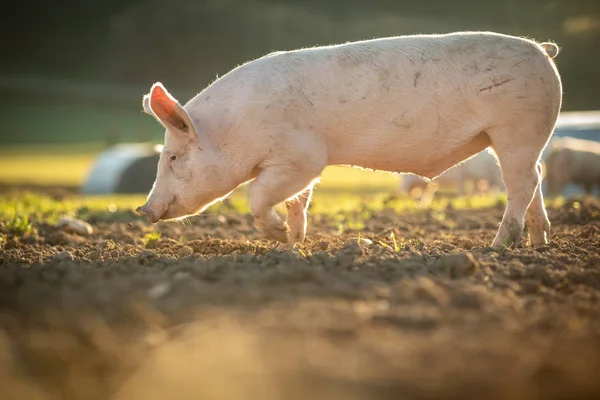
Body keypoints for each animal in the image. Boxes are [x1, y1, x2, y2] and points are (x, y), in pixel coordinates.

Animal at [136, 31, 564, 250]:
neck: (235, 127)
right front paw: (293, 244)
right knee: (537, 179)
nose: (143, 210)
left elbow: (259, 197)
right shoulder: (298, 168)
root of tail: (542, 50)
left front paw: (277, 236)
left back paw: (497, 247)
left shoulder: (302, 158)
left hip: (518, 128)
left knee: (522, 183)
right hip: (520, 137)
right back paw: (539, 244)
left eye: (172, 157)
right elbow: (298, 202)